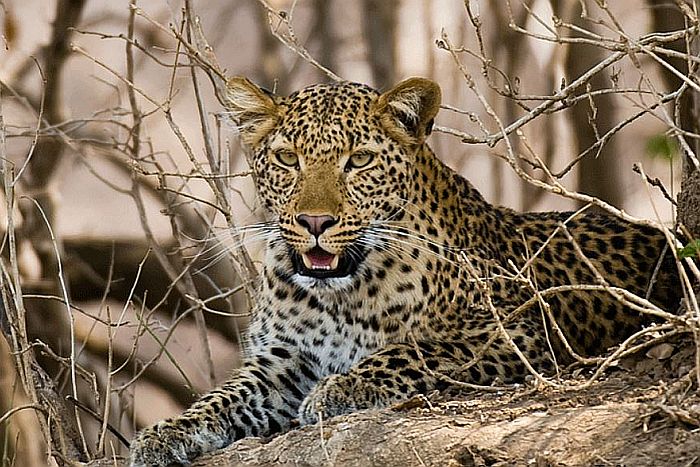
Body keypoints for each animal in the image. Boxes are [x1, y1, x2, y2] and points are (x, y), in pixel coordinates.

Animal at [129, 75, 680, 466]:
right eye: (287, 159)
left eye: (359, 161)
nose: (314, 222)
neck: (339, 293)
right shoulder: (282, 359)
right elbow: (225, 395)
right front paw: (165, 433)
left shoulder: (511, 331)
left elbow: (410, 350)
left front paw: (340, 389)